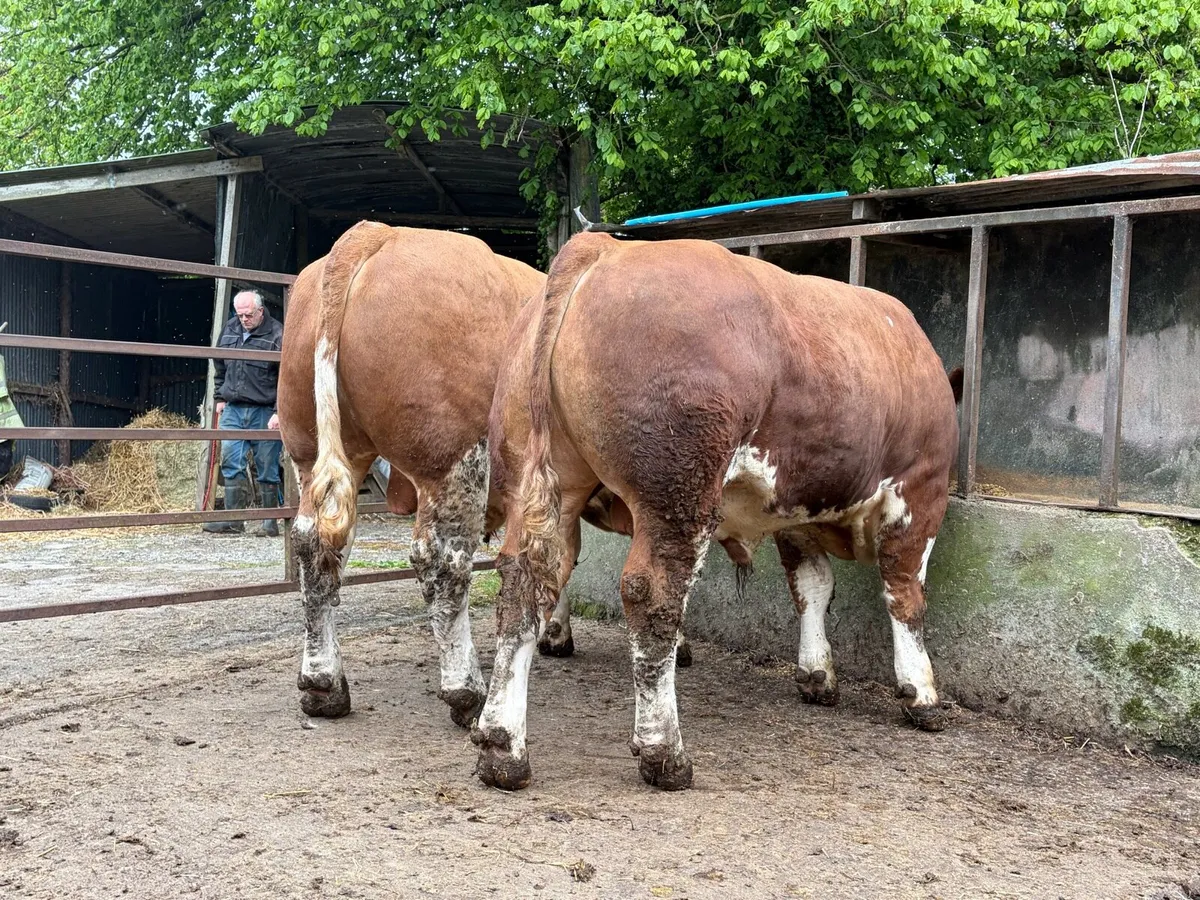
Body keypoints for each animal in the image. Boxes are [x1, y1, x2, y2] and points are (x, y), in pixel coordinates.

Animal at [276, 222, 545, 726]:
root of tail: (378, 232)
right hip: (453, 460)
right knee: (441, 563)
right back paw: (465, 691)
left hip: (313, 451)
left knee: (314, 547)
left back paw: (323, 685)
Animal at [475, 231, 962, 791]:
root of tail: (603, 246)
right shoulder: (920, 493)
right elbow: (905, 595)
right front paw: (922, 694)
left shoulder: (795, 510)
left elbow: (813, 588)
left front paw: (817, 674)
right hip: (677, 493)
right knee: (652, 596)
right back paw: (664, 751)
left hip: (543, 482)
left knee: (526, 583)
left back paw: (503, 747)